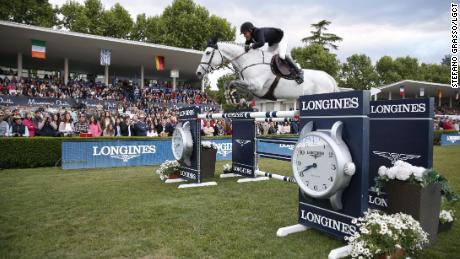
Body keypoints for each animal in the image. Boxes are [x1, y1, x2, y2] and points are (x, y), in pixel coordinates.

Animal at [196, 40, 340, 102]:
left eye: (207, 53)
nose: (198, 73)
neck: (249, 60)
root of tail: (329, 78)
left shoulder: (255, 86)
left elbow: (232, 82)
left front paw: (233, 98)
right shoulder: (249, 86)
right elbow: (229, 84)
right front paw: (232, 97)